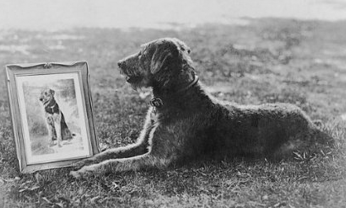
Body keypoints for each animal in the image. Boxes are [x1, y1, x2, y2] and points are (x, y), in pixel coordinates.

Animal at [69, 37, 332, 179]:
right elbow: (110, 153)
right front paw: (83, 161)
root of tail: (312, 124)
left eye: (143, 52)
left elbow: (116, 163)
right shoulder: (142, 144)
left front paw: (87, 171)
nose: (119, 63)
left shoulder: (158, 157)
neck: (174, 97)